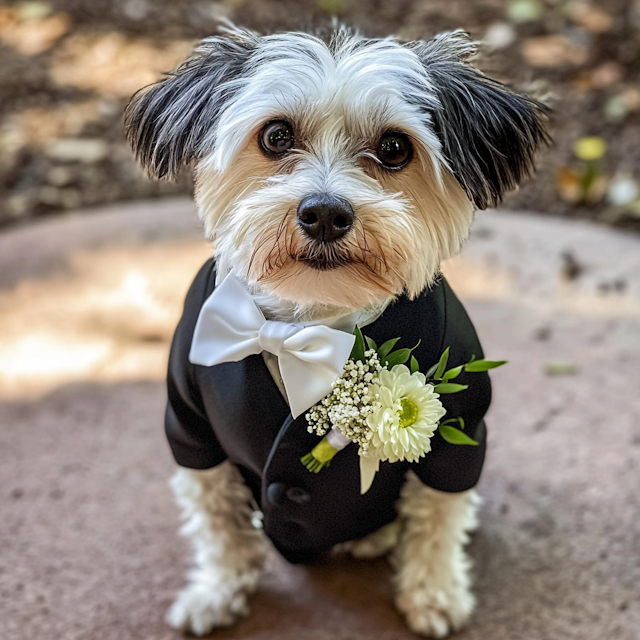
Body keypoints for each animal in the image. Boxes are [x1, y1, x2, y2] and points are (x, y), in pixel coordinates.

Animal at [126, 22, 552, 636]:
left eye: (395, 148)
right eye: (276, 136)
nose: (325, 213)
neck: (310, 323)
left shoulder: (461, 435)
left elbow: (437, 522)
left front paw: (434, 593)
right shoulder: (190, 428)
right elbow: (219, 522)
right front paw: (218, 588)